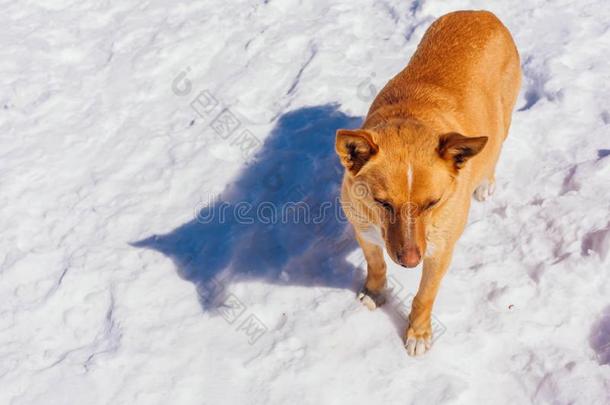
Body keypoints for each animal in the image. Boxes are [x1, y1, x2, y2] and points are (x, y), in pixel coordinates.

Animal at [334, 11, 520, 356]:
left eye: (433, 203)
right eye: (383, 203)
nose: (410, 262)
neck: (411, 117)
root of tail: (482, 13)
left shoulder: (440, 251)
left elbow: (424, 295)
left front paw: (418, 333)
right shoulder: (363, 228)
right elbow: (376, 264)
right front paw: (375, 292)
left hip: (502, 120)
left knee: (495, 148)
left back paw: (485, 184)